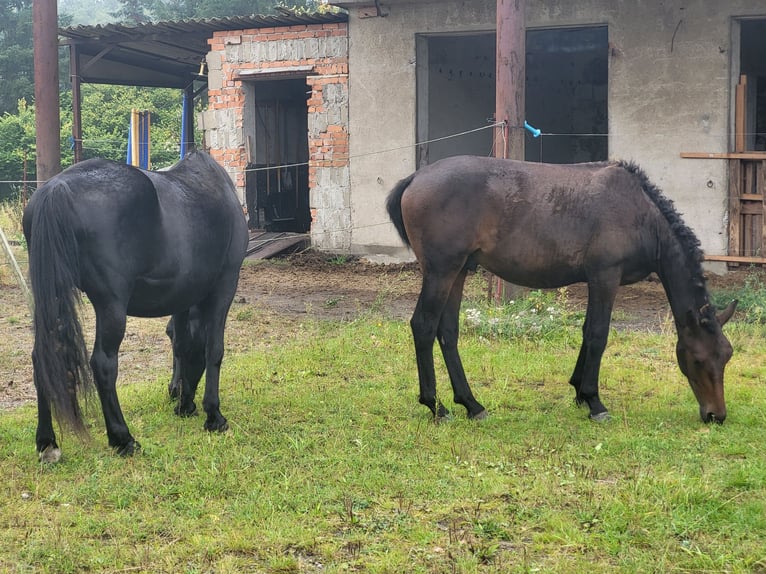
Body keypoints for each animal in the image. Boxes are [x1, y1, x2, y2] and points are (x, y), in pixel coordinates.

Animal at [23, 150, 248, 462]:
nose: (183, 402)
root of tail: (56, 188)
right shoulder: (225, 284)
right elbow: (213, 349)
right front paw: (213, 415)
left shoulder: (182, 295)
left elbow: (181, 344)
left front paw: (184, 401)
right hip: (111, 307)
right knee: (103, 364)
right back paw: (123, 438)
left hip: (53, 298)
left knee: (42, 358)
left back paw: (47, 443)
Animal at [386, 155, 737, 424]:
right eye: (698, 360)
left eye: (726, 356)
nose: (716, 415)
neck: (639, 213)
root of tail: (416, 177)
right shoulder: (605, 277)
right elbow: (597, 334)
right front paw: (594, 401)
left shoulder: (596, 280)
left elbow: (586, 331)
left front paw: (579, 391)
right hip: (441, 272)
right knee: (423, 326)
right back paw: (436, 406)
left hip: (458, 272)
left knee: (447, 332)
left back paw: (471, 404)